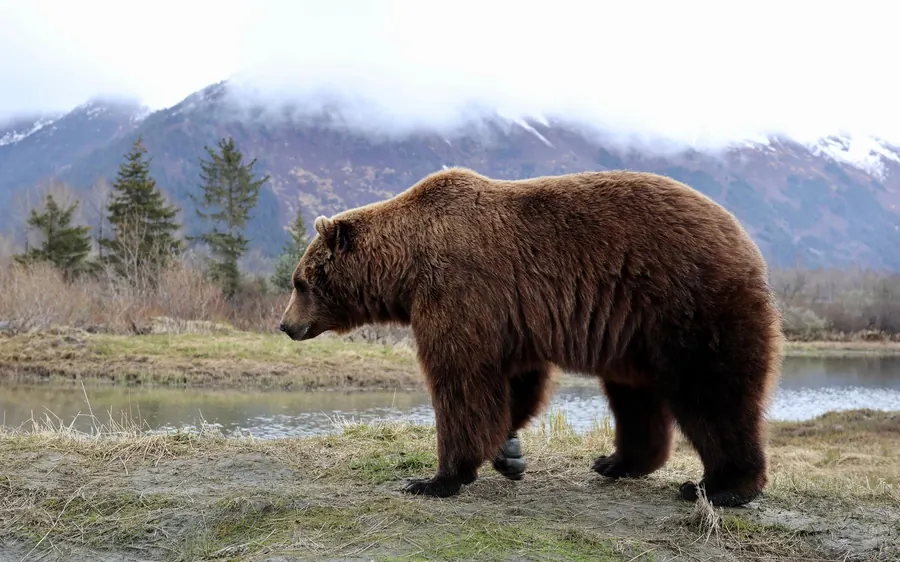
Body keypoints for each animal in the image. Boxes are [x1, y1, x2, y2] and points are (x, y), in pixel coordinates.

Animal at [279, 167, 783, 508]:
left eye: (300, 282)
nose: (285, 324)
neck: (406, 269)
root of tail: (745, 239)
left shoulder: (459, 291)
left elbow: (461, 381)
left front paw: (436, 478)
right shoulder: (511, 317)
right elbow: (514, 380)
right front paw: (507, 452)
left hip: (689, 304)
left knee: (713, 392)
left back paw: (722, 486)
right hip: (634, 334)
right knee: (635, 395)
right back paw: (617, 462)